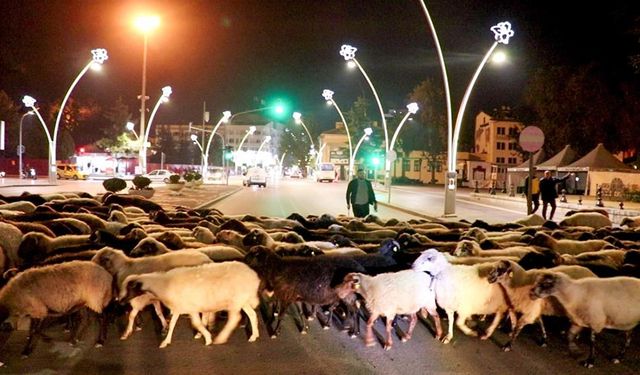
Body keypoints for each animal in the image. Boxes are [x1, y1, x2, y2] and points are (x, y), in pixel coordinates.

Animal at [120, 262, 260, 348]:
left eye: (131, 288)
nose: (120, 301)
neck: (163, 284)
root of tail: (253, 276)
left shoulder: (189, 307)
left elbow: (195, 323)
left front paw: (207, 338)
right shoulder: (180, 307)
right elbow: (173, 324)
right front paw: (166, 341)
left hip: (235, 301)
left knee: (235, 318)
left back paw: (221, 338)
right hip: (243, 300)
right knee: (252, 314)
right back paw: (254, 336)